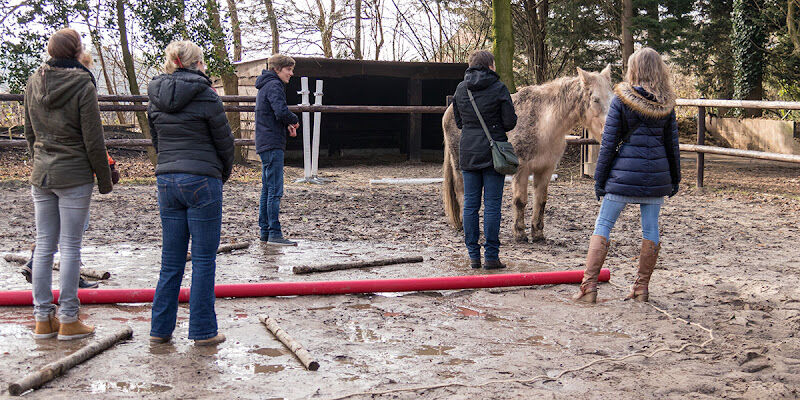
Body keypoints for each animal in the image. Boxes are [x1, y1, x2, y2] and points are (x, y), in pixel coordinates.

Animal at [444, 66, 612, 241]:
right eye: (595, 99)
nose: (609, 130)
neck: (544, 124)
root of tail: (449, 111)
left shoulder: (545, 170)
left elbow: (541, 201)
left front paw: (537, 233)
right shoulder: (522, 170)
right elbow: (520, 200)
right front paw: (519, 232)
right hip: (460, 166)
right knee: (461, 191)